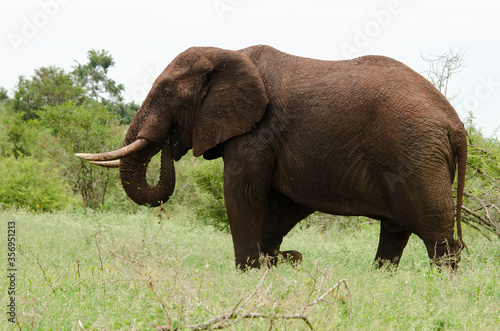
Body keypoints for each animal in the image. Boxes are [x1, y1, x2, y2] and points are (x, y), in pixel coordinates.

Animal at [76, 45, 466, 272]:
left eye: (167, 92)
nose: (171, 143)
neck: (231, 54)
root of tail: (455, 123)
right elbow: (284, 203)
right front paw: (272, 262)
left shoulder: (258, 131)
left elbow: (243, 193)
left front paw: (250, 270)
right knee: (396, 230)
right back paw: (381, 274)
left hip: (417, 155)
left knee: (436, 232)